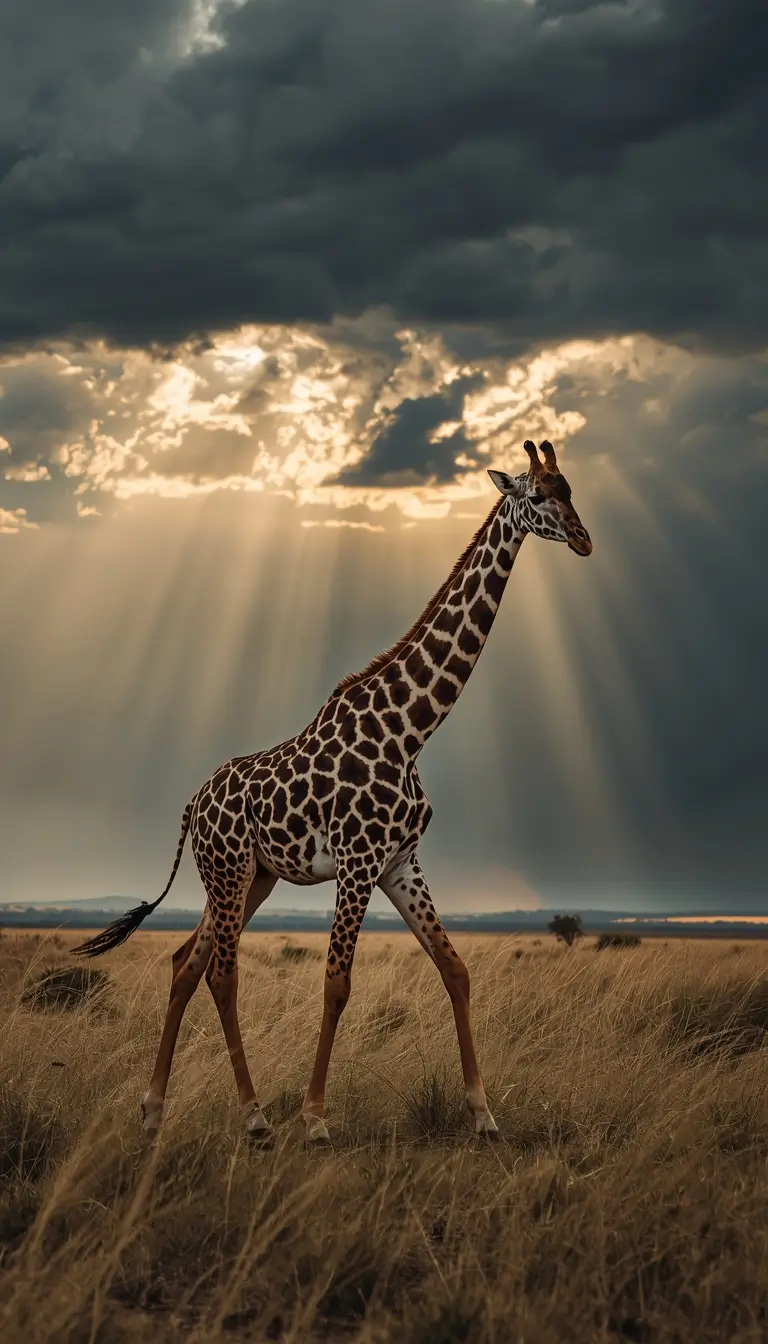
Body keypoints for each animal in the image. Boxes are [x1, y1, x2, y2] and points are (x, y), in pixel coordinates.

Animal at [74, 439, 592, 1144]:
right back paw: (256, 1117)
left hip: (249, 876)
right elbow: (337, 983)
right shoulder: (357, 860)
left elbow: (455, 969)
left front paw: (484, 1114)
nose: (584, 539)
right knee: (222, 973)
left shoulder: (401, 862)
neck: (411, 730)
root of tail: (190, 806)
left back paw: (153, 1112)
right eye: (538, 495)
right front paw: (316, 1120)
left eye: (570, 489)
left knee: (185, 963)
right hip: (231, 871)